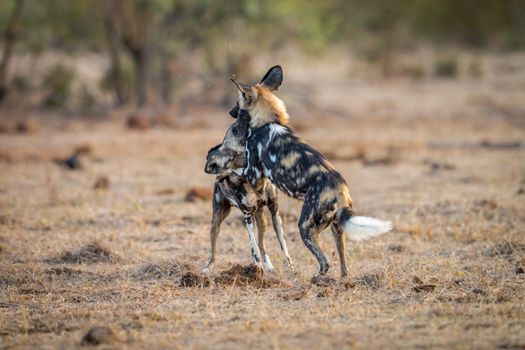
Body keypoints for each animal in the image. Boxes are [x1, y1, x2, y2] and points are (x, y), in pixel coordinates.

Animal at [202, 106, 292, 274]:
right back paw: (207, 268)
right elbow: (253, 247)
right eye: (235, 130)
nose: (242, 113)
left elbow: (281, 242)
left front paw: (288, 265)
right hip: (216, 221)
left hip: (262, 220)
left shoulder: (274, 211)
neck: (258, 181)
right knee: (213, 249)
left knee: (263, 245)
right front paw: (256, 269)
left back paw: (268, 266)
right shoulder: (247, 216)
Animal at [231, 65, 390, 278]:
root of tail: (340, 189)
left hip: (305, 227)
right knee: (343, 265)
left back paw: (316, 279)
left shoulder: (253, 173)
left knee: (324, 262)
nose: (230, 112)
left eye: (237, 102)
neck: (268, 121)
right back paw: (340, 280)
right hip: (336, 228)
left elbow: (237, 170)